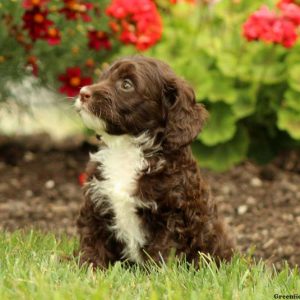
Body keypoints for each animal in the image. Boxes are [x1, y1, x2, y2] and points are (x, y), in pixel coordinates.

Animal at [74, 55, 234, 268]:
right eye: (103, 77)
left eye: (126, 84)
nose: (83, 93)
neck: (126, 148)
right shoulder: (96, 202)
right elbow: (93, 240)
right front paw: (89, 268)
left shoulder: (173, 216)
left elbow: (162, 253)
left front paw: (157, 275)